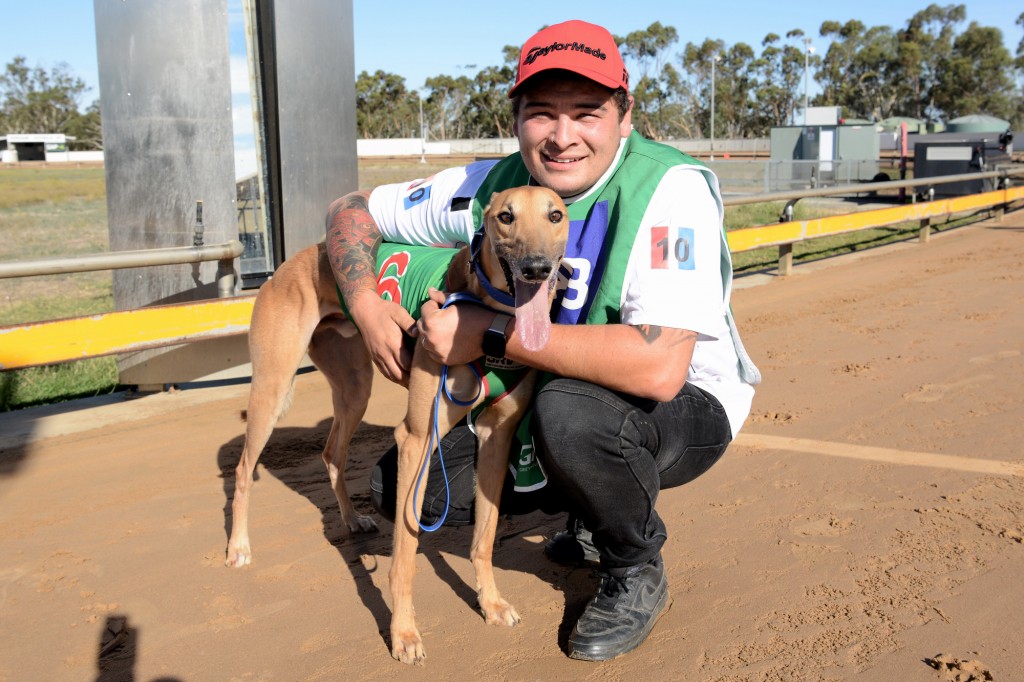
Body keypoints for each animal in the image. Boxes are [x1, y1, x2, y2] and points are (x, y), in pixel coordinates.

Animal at [225, 183, 573, 659]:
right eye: (506, 216)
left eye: (555, 215)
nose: (536, 268)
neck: (491, 326)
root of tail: (288, 264)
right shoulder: (418, 438)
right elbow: (406, 555)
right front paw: (404, 633)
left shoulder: (496, 437)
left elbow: (484, 538)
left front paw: (491, 604)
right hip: (273, 388)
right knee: (244, 468)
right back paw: (239, 547)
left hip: (354, 387)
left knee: (331, 453)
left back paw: (352, 520)